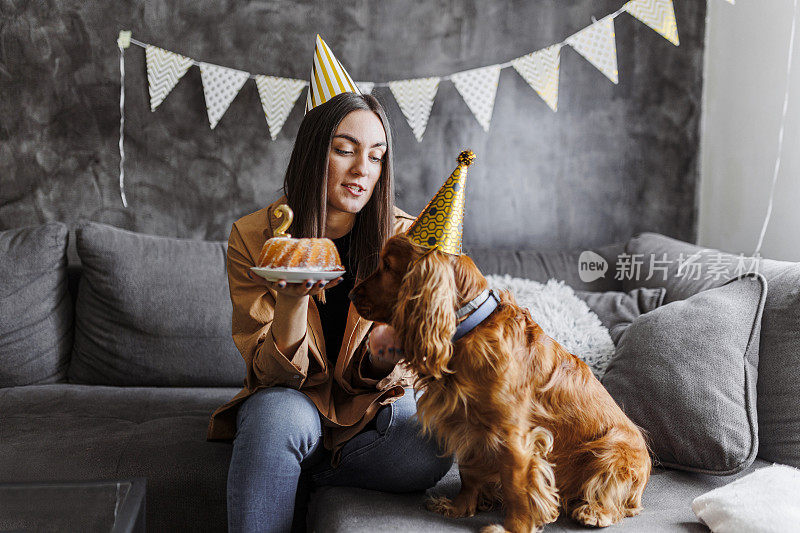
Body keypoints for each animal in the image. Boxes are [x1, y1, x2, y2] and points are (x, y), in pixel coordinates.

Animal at [348, 235, 648, 532]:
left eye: (387, 266)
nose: (350, 295)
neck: (470, 328)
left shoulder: (514, 435)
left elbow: (517, 486)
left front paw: (515, 527)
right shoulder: (467, 423)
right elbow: (469, 472)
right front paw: (459, 508)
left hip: (611, 452)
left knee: (616, 499)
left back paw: (593, 512)